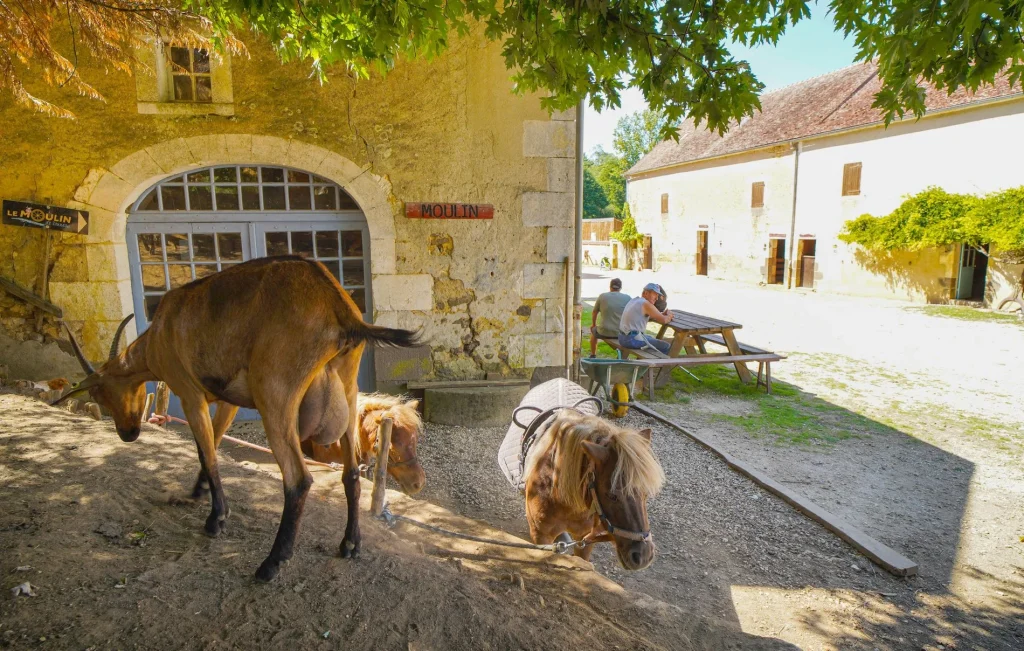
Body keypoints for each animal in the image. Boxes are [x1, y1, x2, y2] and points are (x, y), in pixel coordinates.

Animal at [50, 256, 419, 581]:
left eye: (100, 395)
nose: (128, 433)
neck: (159, 332)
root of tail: (338, 309)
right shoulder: (227, 401)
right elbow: (214, 441)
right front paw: (196, 492)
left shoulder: (189, 393)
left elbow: (207, 453)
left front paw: (216, 519)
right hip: (349, 392)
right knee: (351, 475)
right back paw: (350, 545)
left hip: (276, 397)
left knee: (298, 479)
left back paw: (271, 563)